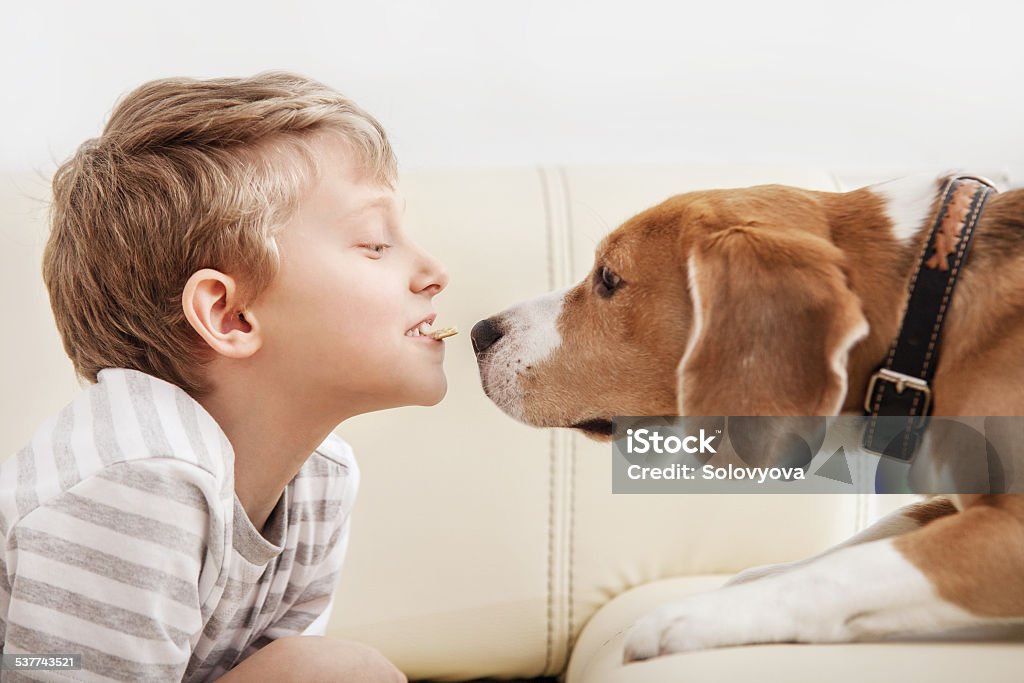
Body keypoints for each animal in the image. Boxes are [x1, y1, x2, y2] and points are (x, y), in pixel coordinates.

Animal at [468, 172, 1024, 663]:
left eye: (608, 277)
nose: (478, 333)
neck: (932, 306)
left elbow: (854, 565)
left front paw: (695, 615)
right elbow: (872, 535)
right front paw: (749, 580)